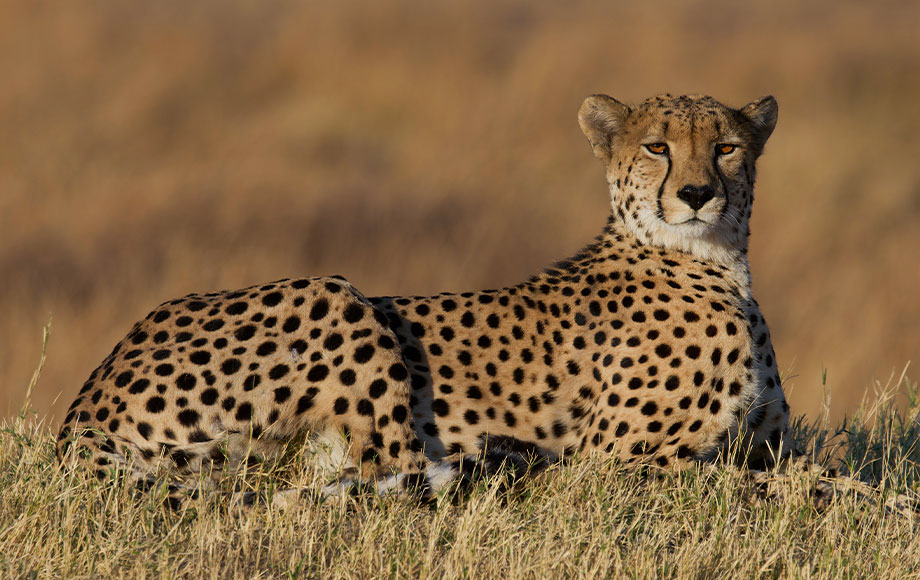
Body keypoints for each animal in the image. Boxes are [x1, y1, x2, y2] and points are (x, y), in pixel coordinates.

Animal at [57, 94, 796, 502]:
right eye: (657, 147)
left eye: (727, 148)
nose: (697, 194)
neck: (715, 259)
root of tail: (84, 410)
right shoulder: (613, 465)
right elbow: (773, 486)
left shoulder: (765, 445)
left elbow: (782, 471)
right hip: (335, 296)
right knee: (390, 477)